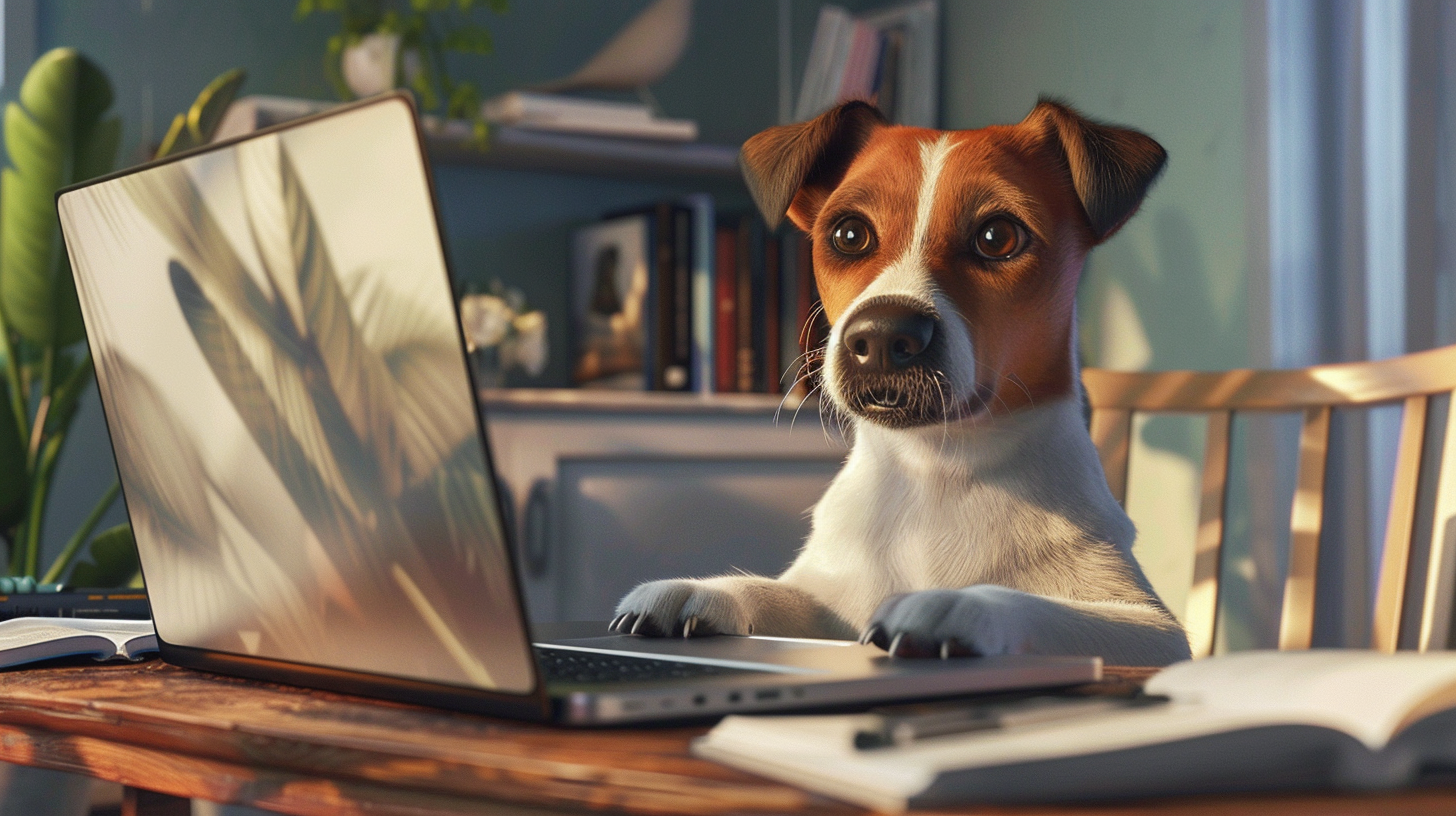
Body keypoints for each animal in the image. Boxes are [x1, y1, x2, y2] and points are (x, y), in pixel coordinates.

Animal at [608, 99, 1188, 667]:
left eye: (998, 236)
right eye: (848, 233)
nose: (884, 335)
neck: (932, 470)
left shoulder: (1153, 629)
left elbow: (1039, 605)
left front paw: (955, 604)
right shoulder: (833, 601)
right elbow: (781, 593)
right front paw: (704, 590)